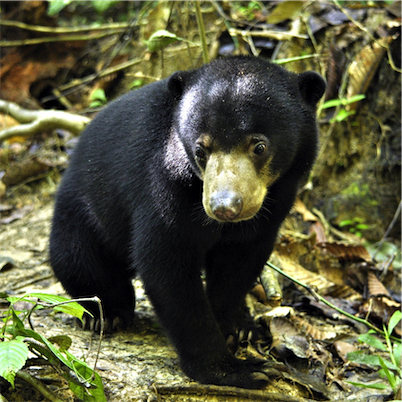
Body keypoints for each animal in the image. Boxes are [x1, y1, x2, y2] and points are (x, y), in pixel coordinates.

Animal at [50, 55, 326, 388]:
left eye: (259, 146)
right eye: (200, 149)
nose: (224, 207)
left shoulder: (277, 198)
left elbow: (241, 260)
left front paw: (235, 327)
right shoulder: (163, 185)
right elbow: (168, 266)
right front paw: (239, 369)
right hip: (83, 213)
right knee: (78, 259)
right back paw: (108, 312)